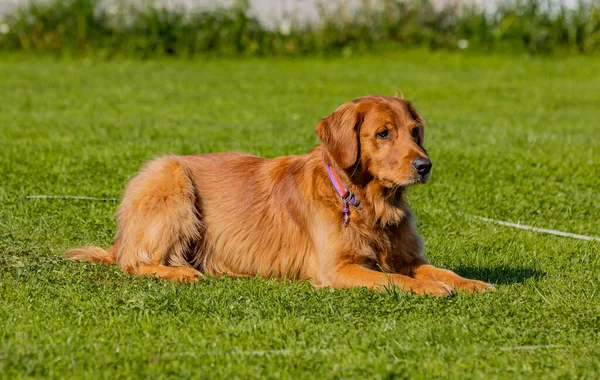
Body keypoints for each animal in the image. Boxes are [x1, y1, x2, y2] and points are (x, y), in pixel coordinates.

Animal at [68, 93, 494, 296]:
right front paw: (430, 289)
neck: (365, 202)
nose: (425, 165)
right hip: (167, 172)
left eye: (415, 131)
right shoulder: (337, 268)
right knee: (134, 261)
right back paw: (182, 272)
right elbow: (397, 281)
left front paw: (471, 283)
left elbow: (440, 270)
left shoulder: (406, 257)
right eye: (383, 133)